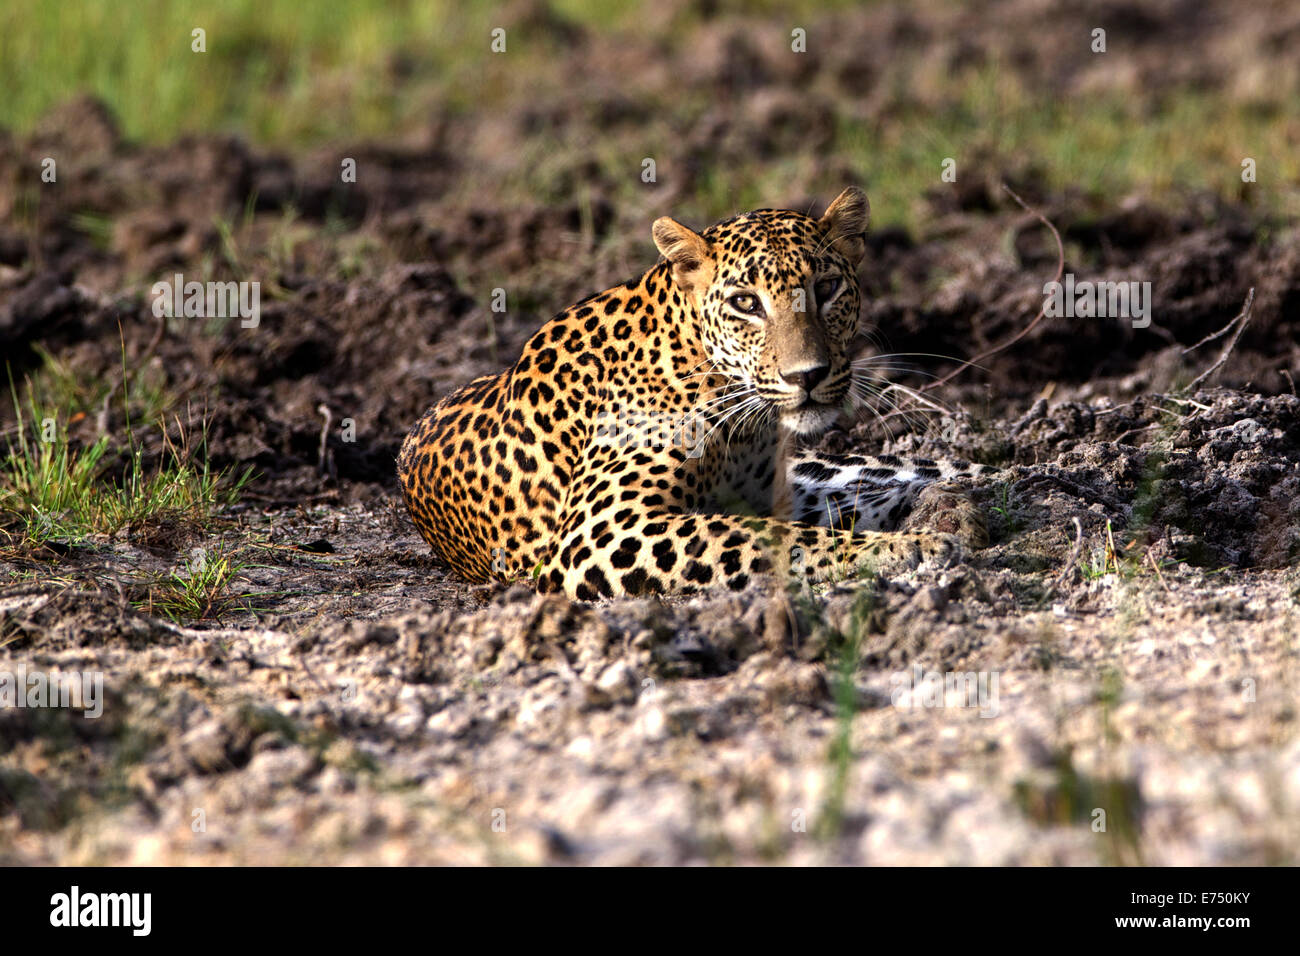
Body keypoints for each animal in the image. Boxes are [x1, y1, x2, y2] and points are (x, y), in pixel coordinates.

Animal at [395, 187, 982, 598]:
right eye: (746, 303)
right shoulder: (603, 531)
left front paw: (934, 522)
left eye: (827, 288)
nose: (808, 376)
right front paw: (913, 545)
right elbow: (761, 536)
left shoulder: (774, 492)